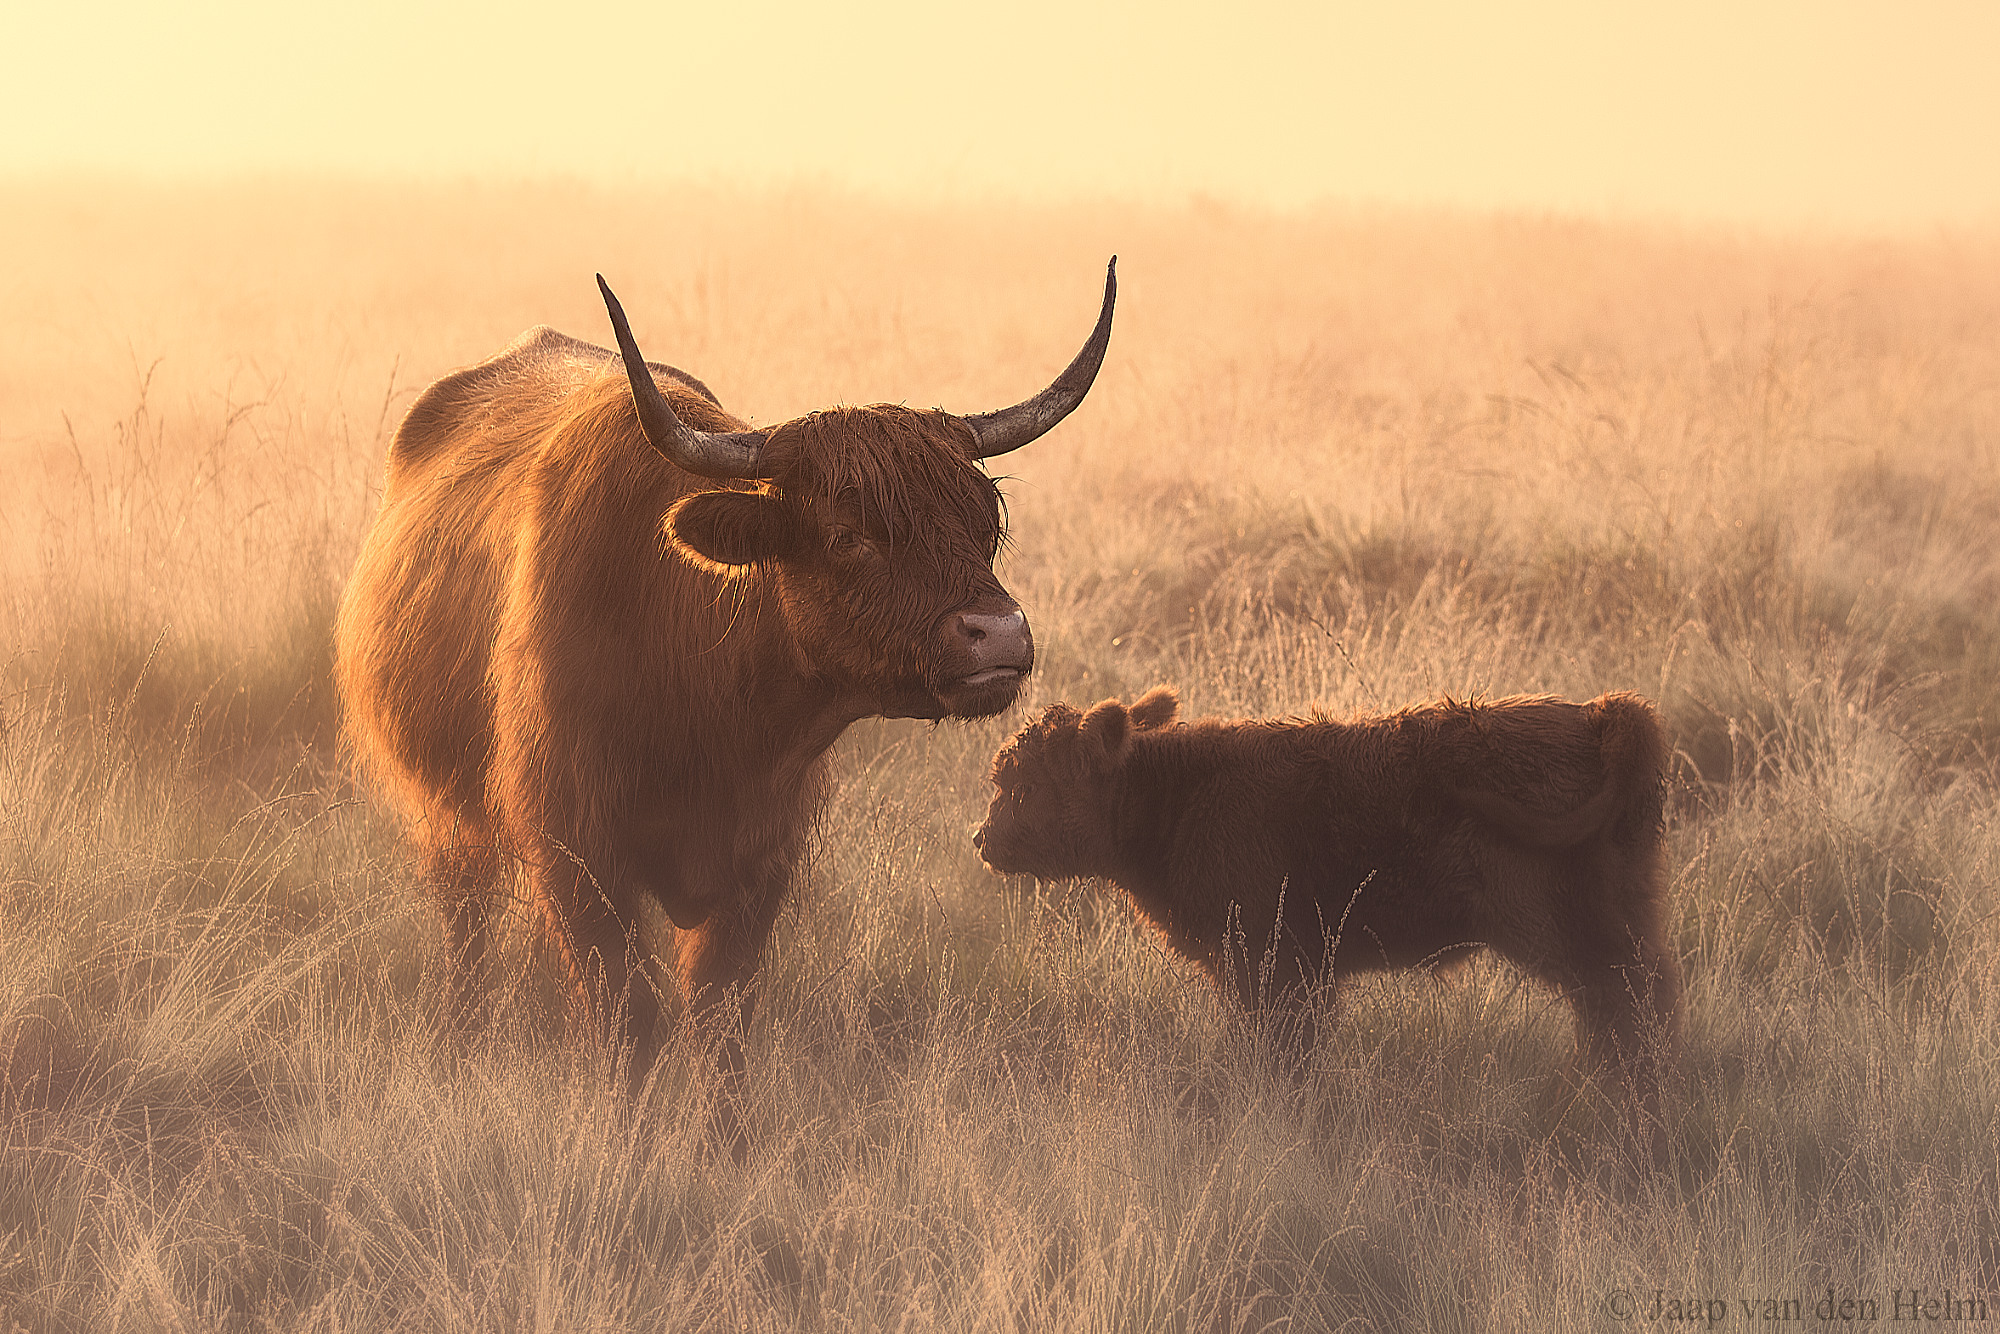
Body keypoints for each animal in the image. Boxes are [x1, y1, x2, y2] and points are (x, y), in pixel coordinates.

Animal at [335, 261, 1115, 1070]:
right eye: (847, 534)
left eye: (985, 523)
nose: (999, 636)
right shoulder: (580, 860)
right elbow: (629, 1022)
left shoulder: (758, 868)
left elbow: (720, 1028)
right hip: (444, 817)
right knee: (467, 925)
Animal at [973, 685, 1680, 1096]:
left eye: (1026, 783)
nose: (982, 838)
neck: (1178, 793)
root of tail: (1605, 713)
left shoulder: (1273, 965)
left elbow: (1278, 1049)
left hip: (1564, 928)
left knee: (1623, 999)